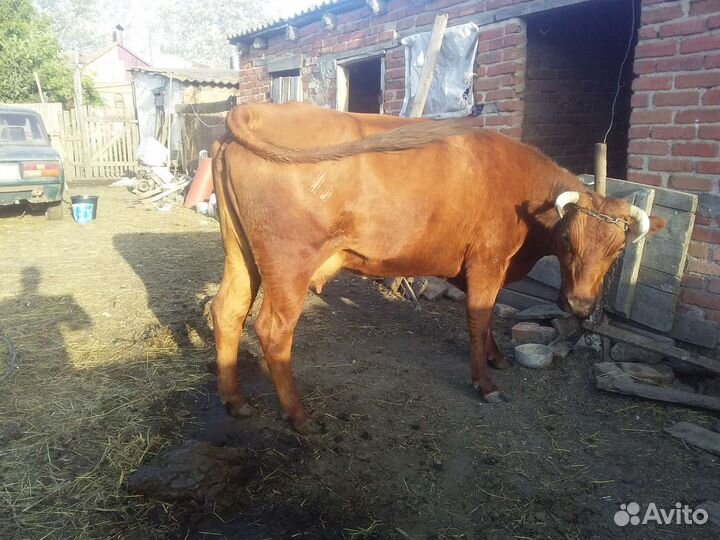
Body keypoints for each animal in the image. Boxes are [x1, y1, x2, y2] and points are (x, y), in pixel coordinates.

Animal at [211, 102, 665, 433]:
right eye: (569, 241)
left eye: (618, 249)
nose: (580, 305)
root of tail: (258, 109)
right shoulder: (487, 261)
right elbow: (479, 319)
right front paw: (485, 384)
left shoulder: (474, 266)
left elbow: (485, 317)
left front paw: (496, 357)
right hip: (289, 264)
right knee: (273, 330)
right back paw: (298, 416)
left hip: (241, 254)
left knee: (227, 310)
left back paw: (235, 402)